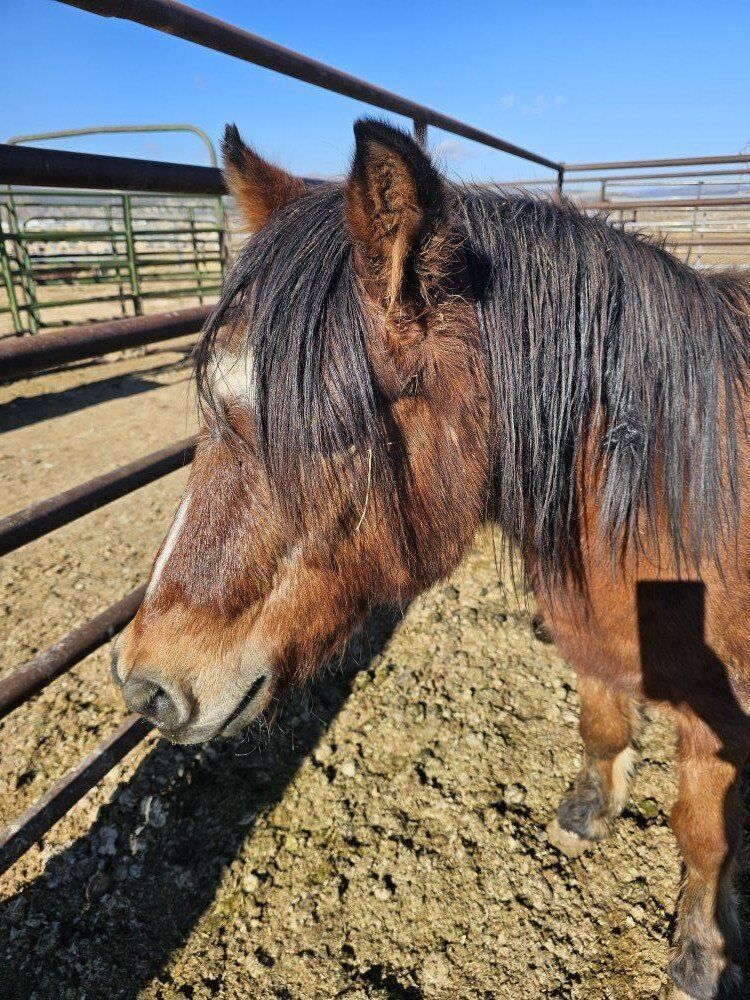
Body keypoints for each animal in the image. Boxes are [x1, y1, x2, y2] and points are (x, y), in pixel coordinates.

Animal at [112, 118, 750, 1000]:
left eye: (329, 432)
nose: (145, 687)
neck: (666, 488)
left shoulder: (722, 712)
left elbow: (703, 832)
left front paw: (700, 952)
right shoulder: (586, 631)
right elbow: (599, 720)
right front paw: (589, 811)